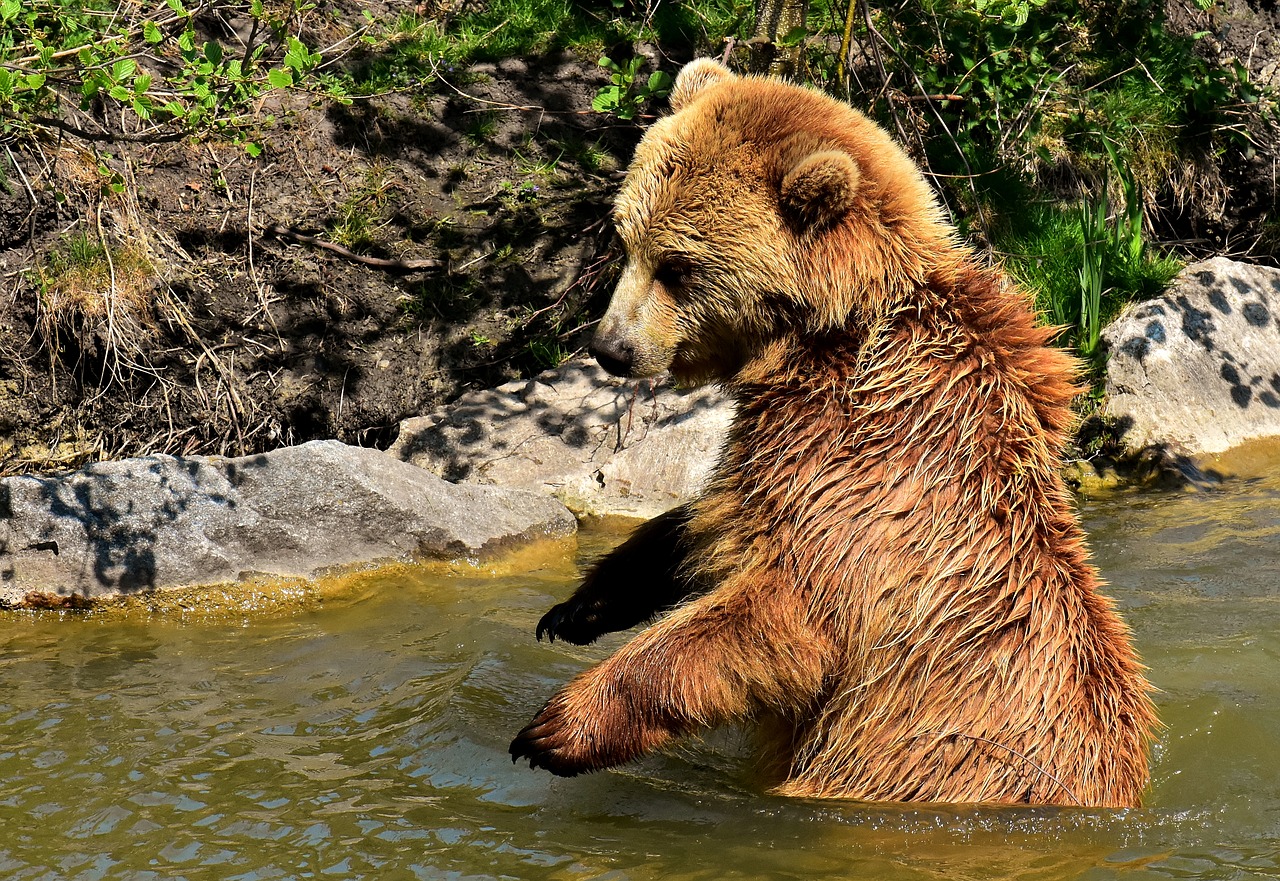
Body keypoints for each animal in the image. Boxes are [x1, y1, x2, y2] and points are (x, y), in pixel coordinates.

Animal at [509, 58, 1162, 809]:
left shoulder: (866, 476)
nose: (610, 347)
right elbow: (704, 523)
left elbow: (781, 614)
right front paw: (580, 604)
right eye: (625, 238)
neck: (826, 340)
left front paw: (558, 725)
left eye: (678, 266)